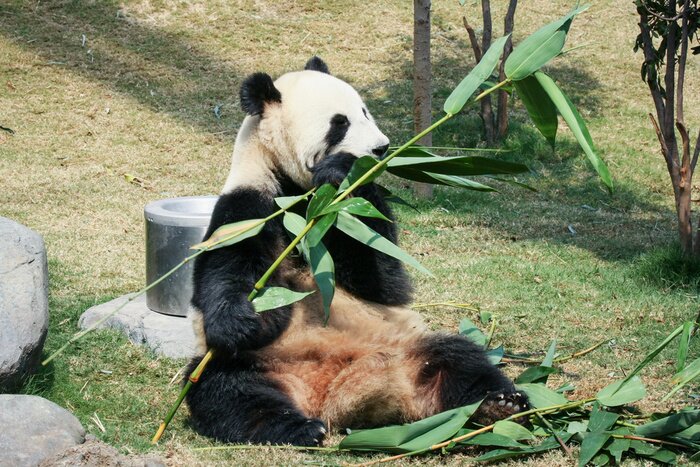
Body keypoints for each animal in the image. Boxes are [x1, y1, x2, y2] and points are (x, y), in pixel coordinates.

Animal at [185, 57, 527, 446]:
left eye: (364, 111)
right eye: (340, 123)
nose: (381, 149)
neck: (304, 197)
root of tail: (332, 395)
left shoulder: (344, 214)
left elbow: (381, 277)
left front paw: (344, 171)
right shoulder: (250, 205)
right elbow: (228, 271)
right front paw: (240, 320)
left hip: (406, 345)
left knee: (458, 357)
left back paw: (499, 403)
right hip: (258, 362)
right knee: (227, 389)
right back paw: (298, 427)